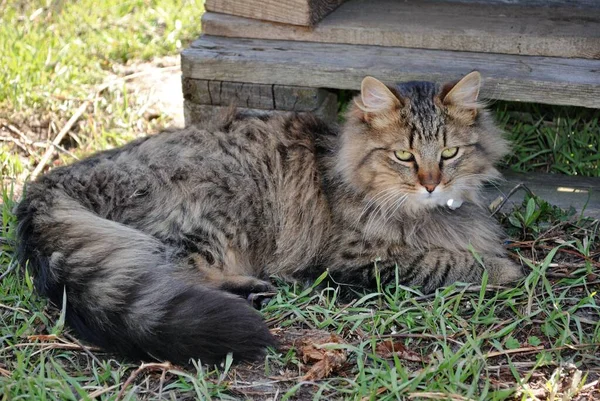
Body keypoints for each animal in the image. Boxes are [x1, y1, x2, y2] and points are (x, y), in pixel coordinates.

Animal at [14, 69, 520, 366]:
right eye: (404, 156)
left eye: (449, 154)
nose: (433, 184)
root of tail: (51, 179)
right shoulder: (355, 259)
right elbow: (442, 262)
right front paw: (504, 269)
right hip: (215, 214)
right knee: (174, 273)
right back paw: (257, 292)